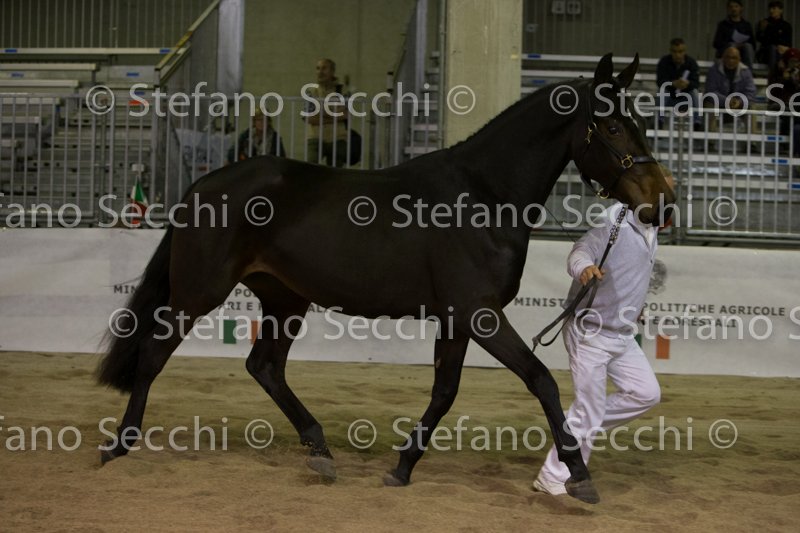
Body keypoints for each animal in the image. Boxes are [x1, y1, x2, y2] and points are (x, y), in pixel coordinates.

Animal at [97, 53, 674, 505]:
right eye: (614, 126)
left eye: (641, 125)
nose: (661, 202)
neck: (484, 195)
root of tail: (202, 186)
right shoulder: (480, 313)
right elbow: (541, 380)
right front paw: (580, 476)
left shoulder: (456, 319)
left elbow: (445, 391)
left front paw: (401, 468)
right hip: (200, 292)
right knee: (153, 354)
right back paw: (119, 446)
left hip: (286, 300)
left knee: (264, 366)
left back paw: (320, 451)